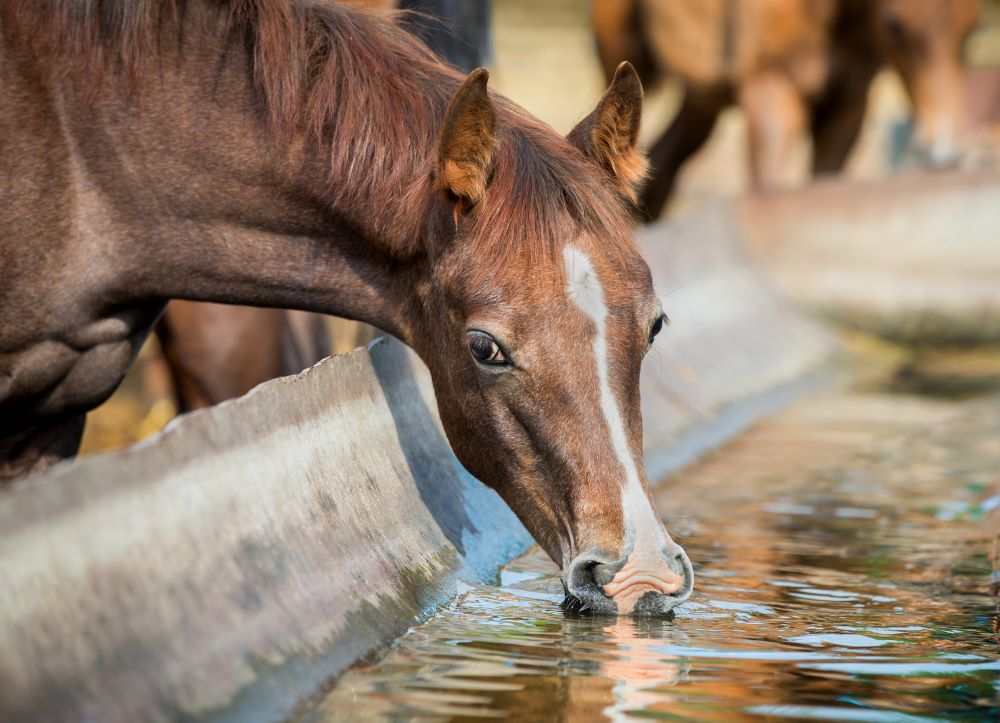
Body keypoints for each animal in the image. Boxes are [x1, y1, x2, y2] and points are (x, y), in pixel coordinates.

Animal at [594, 0, 982, 218]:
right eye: (895, 25)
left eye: (972, 30)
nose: (944, 155)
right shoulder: (769, 88)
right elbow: (769, 189)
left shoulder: (848, 105)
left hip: (705, 98)